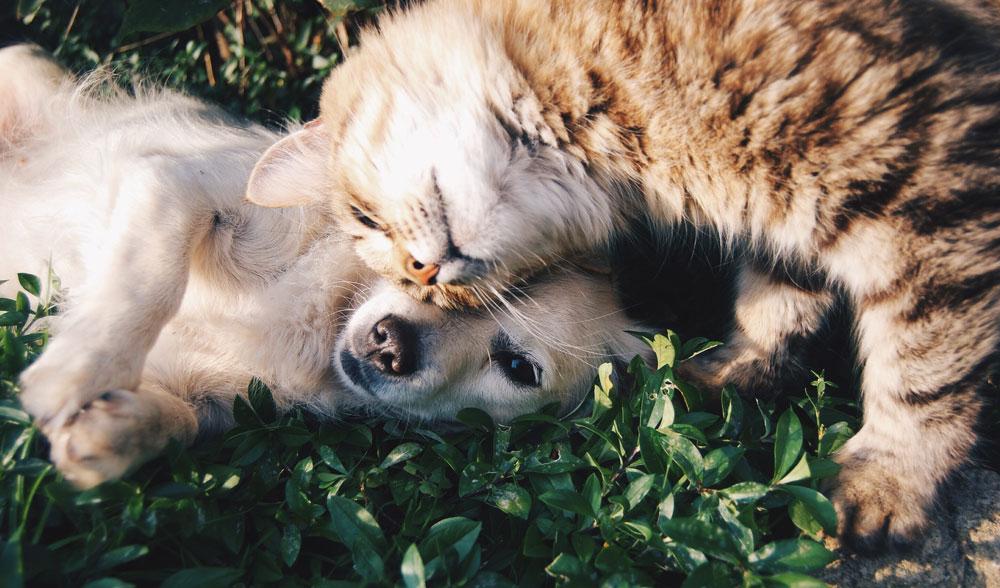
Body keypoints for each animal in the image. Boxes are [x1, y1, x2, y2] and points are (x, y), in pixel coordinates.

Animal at [1, 44, 656, 486]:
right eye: (420, 268)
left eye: (519, 367)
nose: (391, 344)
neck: (322, 321)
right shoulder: (175, 184)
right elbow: (148, 281)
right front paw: (77, 370)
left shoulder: (216, 400)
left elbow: (181, 423)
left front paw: (112, 432)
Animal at [244, 0, 1000, 552]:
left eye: (364, 218)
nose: (425, 272)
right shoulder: (794, 218)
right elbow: (776, 306)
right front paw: (730, 372)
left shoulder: (927, 192)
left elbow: (924, 370)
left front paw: (889, 480)